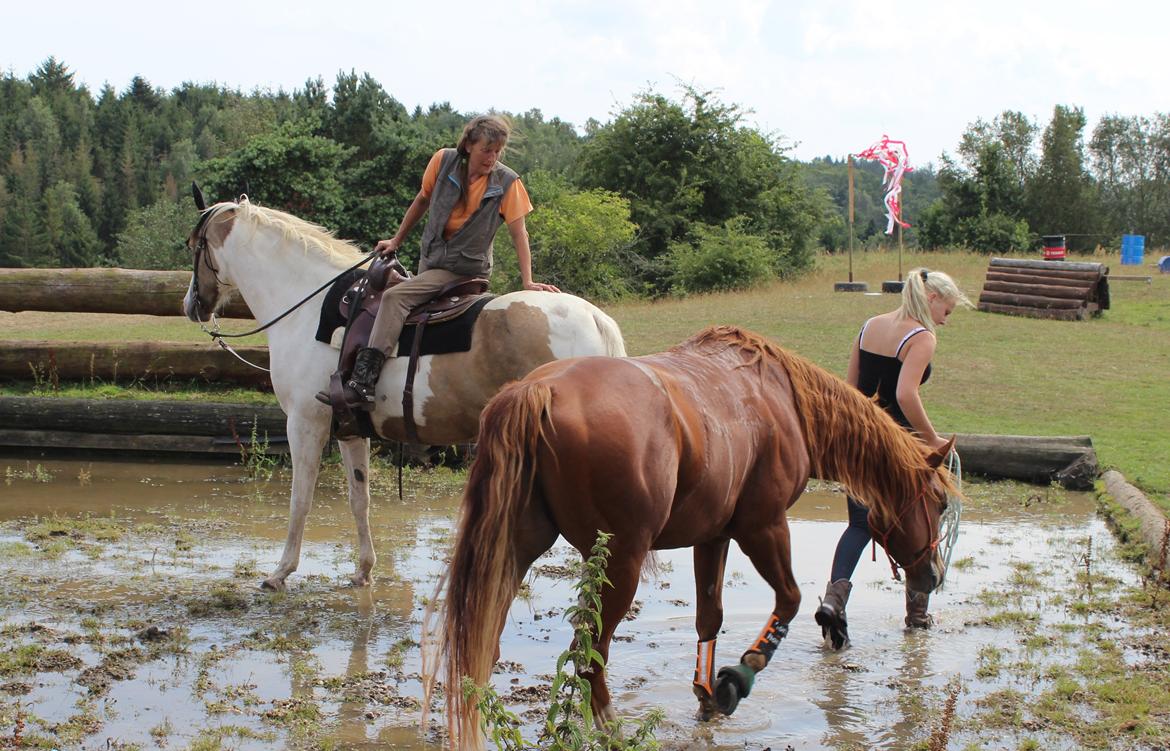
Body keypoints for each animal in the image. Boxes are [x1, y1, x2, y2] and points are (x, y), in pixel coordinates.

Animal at [425, 322, 954, 743]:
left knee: (483, 649)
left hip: (513, 552)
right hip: (620, 563)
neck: (781, 397)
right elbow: (789, 601)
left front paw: (707, 694)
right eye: (941, 502)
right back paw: (611, 727)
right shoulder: (763, 527)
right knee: (589, 652)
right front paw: (737, 677)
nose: (933, 575)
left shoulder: (713, 536)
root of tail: (539, 391)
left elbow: (709, 617)